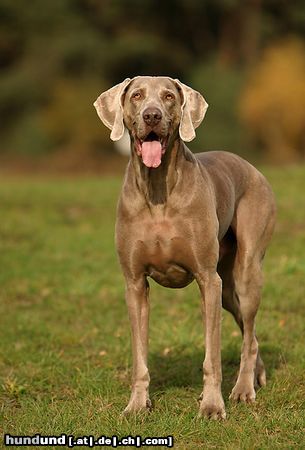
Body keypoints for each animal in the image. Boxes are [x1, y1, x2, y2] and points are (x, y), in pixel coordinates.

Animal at [93, 76, 276, 418]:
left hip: (245, 270)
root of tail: (251, 166)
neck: (157, 188)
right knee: (250, 330)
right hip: (227, 290)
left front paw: (212, 406)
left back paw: (243, 388)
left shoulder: (207, 279)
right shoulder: (134, 284)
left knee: (249, 332)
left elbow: (211, 357)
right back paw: (256, 375)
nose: (152, 116)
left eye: (168, 97)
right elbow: (140, 358)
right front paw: (136, 405)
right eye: (136, 96)